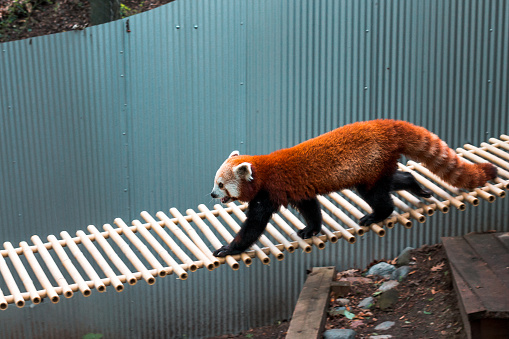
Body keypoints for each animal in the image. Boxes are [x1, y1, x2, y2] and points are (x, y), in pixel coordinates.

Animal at [209, 119, 496, 258]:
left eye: (221, 184)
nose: (211, 194)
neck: (263, 169)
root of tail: (386, 124)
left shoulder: (269, 192)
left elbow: (254, 226)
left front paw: (230, 248)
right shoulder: (300, 189)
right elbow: (311, 208)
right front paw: (311, 229)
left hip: (369, 165)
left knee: (377, 196)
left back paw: (376, 215)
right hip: (380, 165)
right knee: (396, 179)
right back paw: (417, 187)